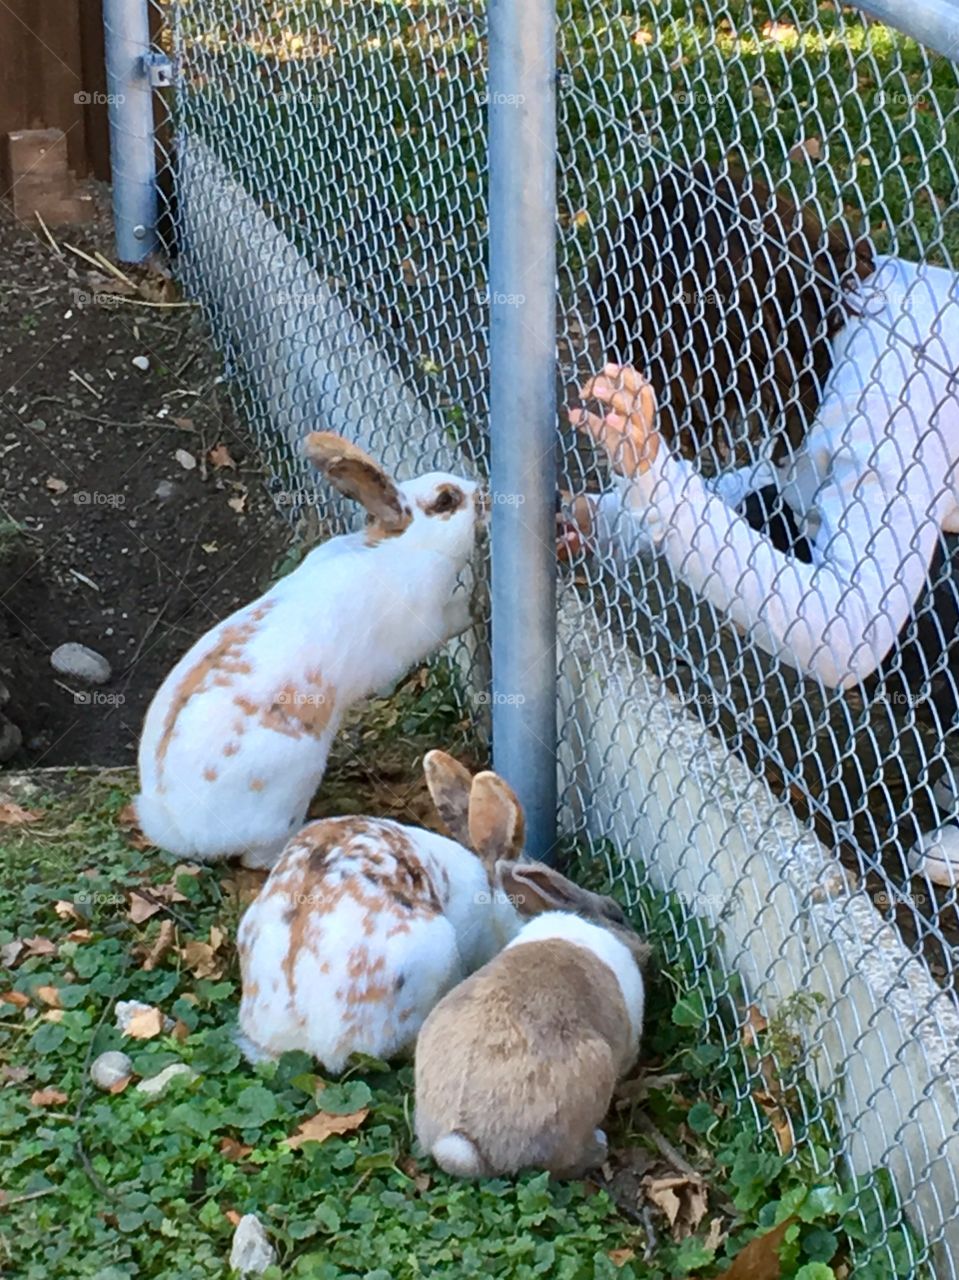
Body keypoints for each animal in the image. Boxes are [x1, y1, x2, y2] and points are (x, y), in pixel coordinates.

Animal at [135, 433, 485, 868]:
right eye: (446, 499)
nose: (482, 492)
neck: (405, 546)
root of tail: (178, 827)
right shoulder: (428, 622)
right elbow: (456, 617)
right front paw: (480, 602)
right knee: (259, 859)